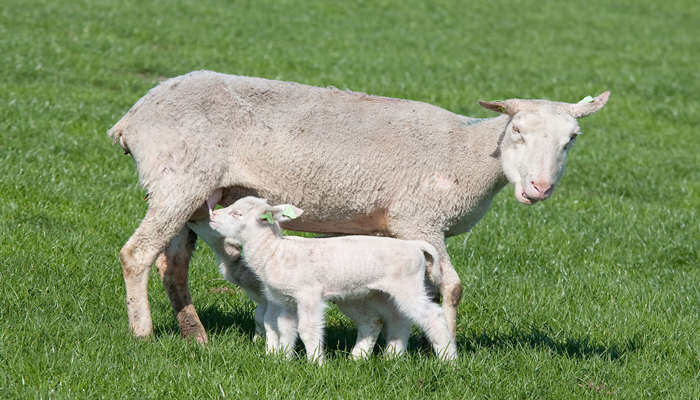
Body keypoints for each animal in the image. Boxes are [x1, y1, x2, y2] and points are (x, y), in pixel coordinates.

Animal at [108, 70, 608, 342]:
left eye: (572, 139)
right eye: (518, 131)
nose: (540, 188)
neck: (465, 154)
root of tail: (133, 116)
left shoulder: (395, 232)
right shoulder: (420, 219)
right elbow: (451, 287)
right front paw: (444, 344)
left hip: (189, 194)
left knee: (170, 266)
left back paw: (195, 336)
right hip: (177, 182)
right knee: (136, 254)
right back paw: (143, 333)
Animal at [197, 195, 460, 364]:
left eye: (237, 213)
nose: (211, 215)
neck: (275, 251)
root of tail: (415, 246)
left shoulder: (309, 294)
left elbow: (308, 329)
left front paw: (316, 362)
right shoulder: (285, 301)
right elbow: (285, 329)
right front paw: (284, 360)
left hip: (408, 285)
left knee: (432, 316)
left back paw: (448, 360)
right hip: (378, 293)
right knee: (394, 320)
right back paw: (383, 357)